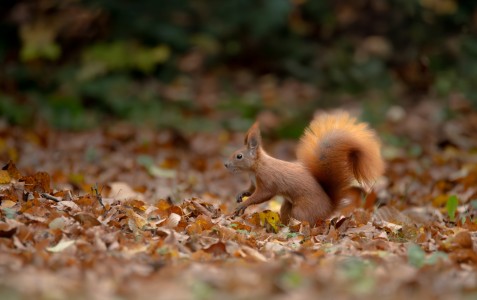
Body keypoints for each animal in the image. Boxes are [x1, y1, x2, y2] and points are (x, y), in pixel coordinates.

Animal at [225, 111, 384, 224]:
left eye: (239, 156)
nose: (226, 164)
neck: (255, 168)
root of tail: (329, 209)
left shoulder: (268, 180)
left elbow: (263, 194)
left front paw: (244, 204)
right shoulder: (253, 182)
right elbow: (251, 190)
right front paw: (241, 194)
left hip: (302, 210)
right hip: (287, 206)